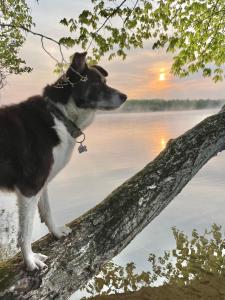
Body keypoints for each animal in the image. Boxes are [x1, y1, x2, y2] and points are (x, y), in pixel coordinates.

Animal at [0, 52, 126, 270]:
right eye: (97, 83)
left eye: (105, 81)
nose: (125, 96)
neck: (59, 115)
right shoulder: (30, 187)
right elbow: (25, 232)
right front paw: (30, 261)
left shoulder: (41, 183)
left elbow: (47, 212)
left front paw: (57, 233)